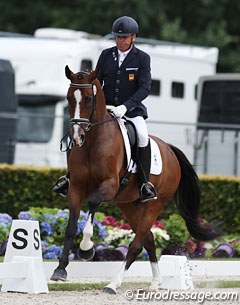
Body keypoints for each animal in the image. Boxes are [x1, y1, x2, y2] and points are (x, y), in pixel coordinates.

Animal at [50, 66, 221, 292]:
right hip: (128, 205)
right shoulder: (76, 188)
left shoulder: (109, 186)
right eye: (69, 98)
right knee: (148, 239)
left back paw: (113, 284)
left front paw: (86, 249)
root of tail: (170, 150)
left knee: (136, 244)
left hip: (154, 203)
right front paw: (60, 270)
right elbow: (70, 228)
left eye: (87, 98)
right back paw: (156, 282)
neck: (93, 141)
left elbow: (93, 201)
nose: (77, 137)